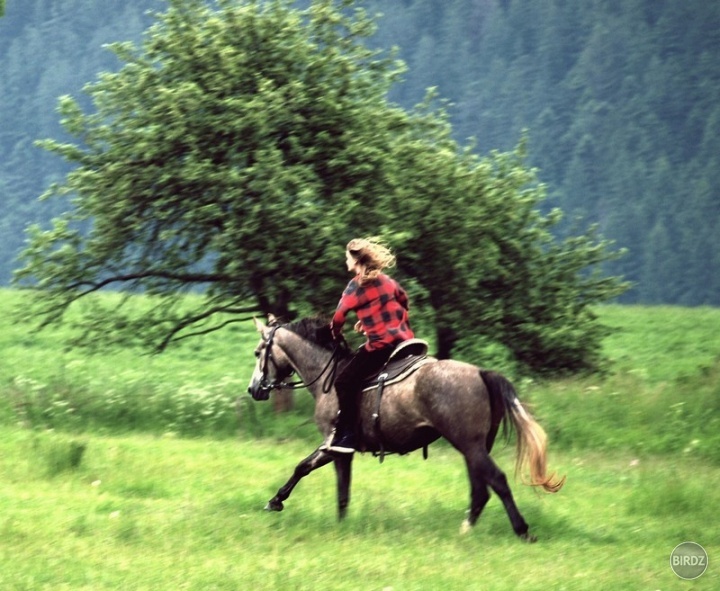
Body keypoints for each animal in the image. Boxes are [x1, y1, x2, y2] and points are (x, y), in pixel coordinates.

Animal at [245, 316, 564, 544]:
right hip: (474, 447)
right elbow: (306, 469)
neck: (328, 376)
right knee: (480, 489)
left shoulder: (336, 447)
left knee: (496, 481)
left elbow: (333, 486)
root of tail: (480, 373)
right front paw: (276, 501)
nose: (254, 389)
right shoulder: (334, 448)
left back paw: (522, 531)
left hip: (470, 445)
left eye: (259, 352)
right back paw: (466, 529)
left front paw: (337, 524)